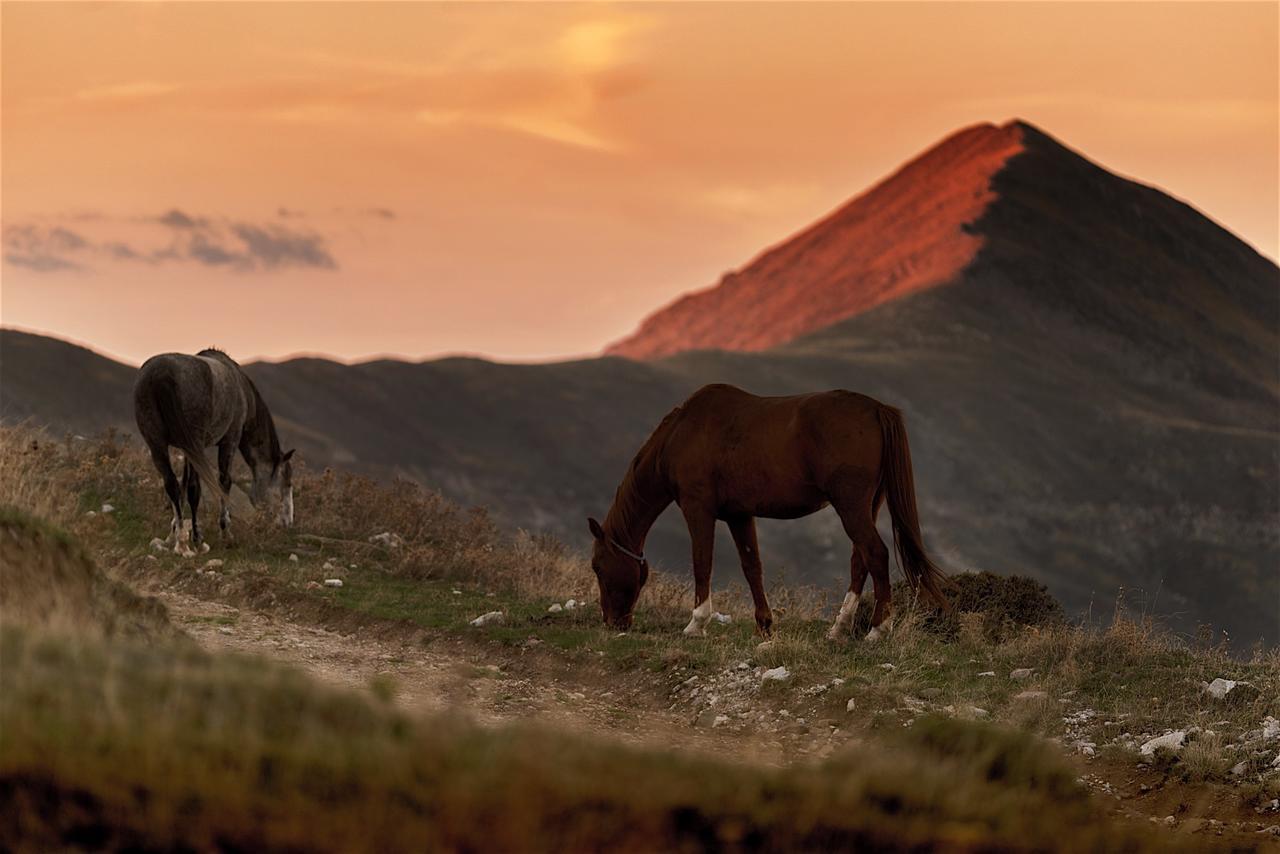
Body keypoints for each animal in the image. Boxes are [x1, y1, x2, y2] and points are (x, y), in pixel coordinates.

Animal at [134, 350, 294, 550]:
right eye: (287, 483)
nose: (288, 523)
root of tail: (162, 374)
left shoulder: (188, 452)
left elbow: (183, 484)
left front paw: (172, 531)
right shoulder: (229, 441)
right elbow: (224, 482)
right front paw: (225, 530)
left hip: (157, 444)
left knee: (172, 484)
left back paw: (180, 538)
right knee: (195, 488)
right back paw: (195, 539)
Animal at [586, 386, 947, 640]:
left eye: (598, 567)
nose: (612, 622)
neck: (681, 433)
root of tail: (877, 409)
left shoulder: (697, 508)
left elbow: (702, 562)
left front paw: (696, 623)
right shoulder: (739, 515)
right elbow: (752, 567)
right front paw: (764, 625)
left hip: (851, 506)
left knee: (875, 555)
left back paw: (877, 630)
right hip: (867, 505)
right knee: (860, 561)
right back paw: (838, 629)